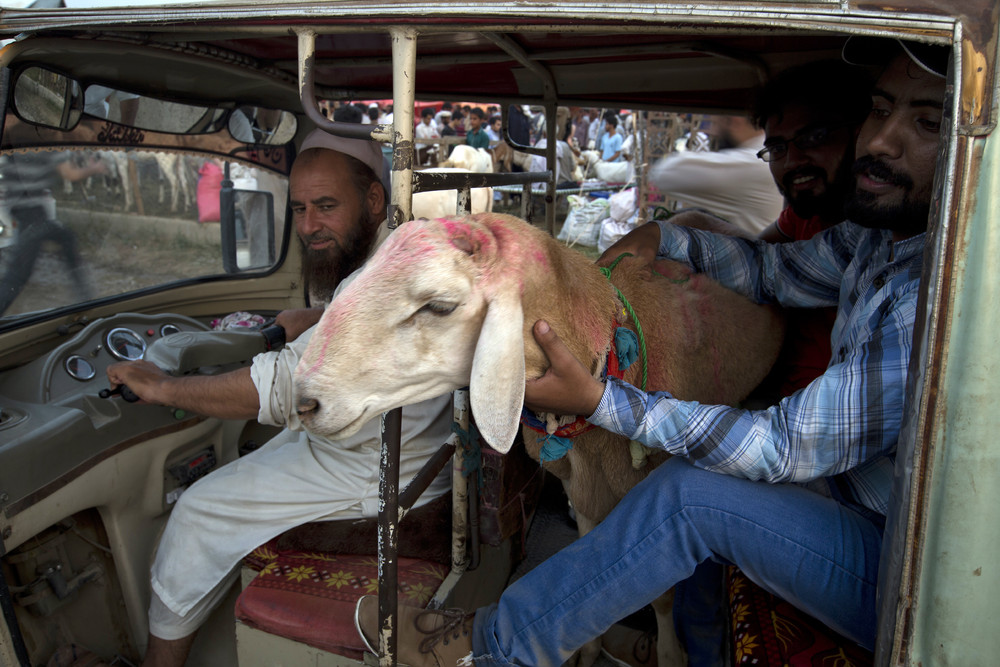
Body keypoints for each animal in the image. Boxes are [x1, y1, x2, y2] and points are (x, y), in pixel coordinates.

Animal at [292, 214, 784, 667]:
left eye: (439, 306)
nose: (304, 402)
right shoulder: (581, 487)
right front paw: (589, 649)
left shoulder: (648, 482)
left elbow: (662, 593)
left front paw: (669, 654)